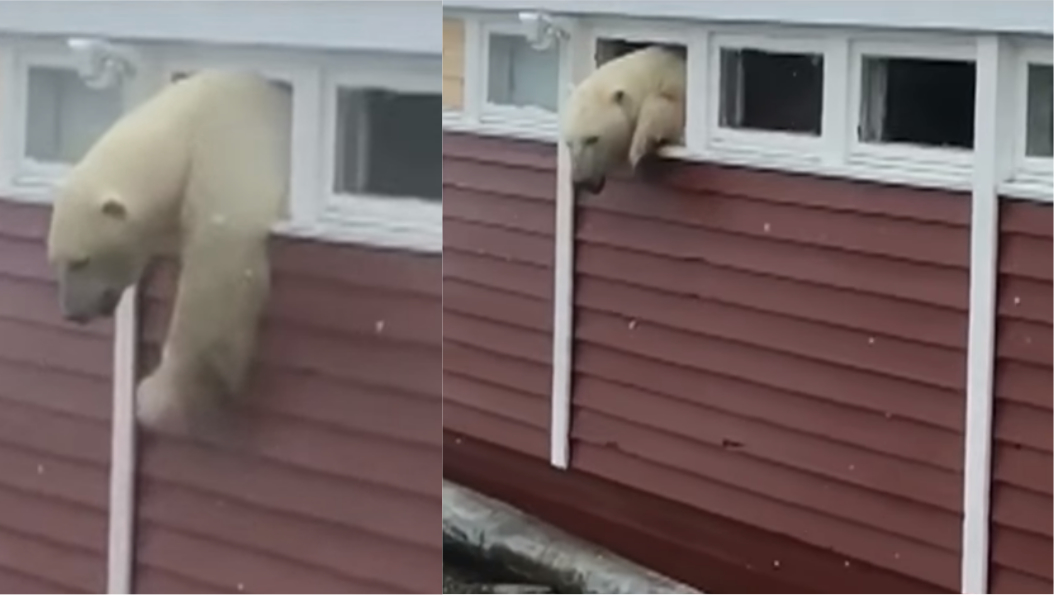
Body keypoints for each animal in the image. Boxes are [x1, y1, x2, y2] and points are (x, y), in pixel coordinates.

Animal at [46, 69, 292, 439]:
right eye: (56, 262)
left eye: (81, 260)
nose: (72, 313)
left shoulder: (227, 144)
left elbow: (218, 263)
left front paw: (157, 398)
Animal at [559, 45, 686, 195]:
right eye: (568, 143)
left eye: (593, 139)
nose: (581, 182)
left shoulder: (675, 80)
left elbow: (670, 102)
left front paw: (640, 146)